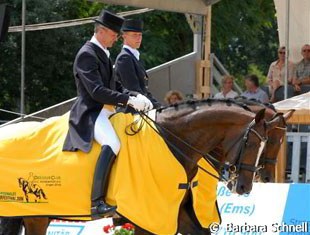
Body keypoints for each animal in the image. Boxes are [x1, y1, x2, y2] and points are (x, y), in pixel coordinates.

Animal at [0, 99, 280, 235]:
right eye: (252, 142)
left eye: (269, 143)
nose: (244, 187)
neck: (172, 140)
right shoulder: (147, 217)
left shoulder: (179, 212)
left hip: (34, 216)